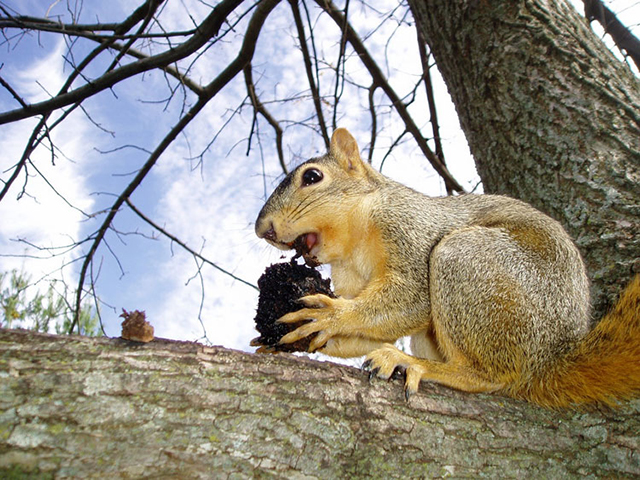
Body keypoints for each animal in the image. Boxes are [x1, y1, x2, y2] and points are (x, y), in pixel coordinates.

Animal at [255, 128, 640, 408]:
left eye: (312, 177)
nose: (264, 230)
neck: (353, 247)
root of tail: (549, 359)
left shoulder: (409, 228)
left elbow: (412, 299)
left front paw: (329, 314)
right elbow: (371, 333)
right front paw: (301, 339)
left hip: (465, 263)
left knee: (492, 377)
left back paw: (416, 365)